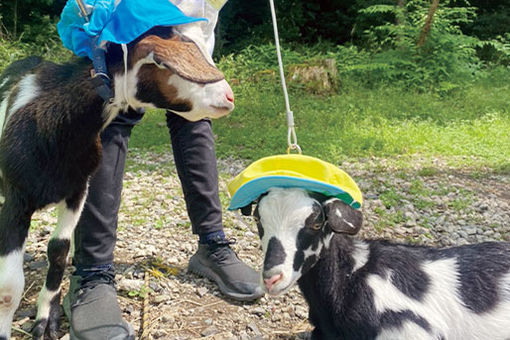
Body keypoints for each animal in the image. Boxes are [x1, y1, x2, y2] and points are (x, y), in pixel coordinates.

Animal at [0, 27, 235, 340]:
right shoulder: (16, 201)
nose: (228, 96)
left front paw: (46, 320)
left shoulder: (77, 191)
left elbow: (58, 252)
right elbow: (8, 288)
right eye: (162, 63)